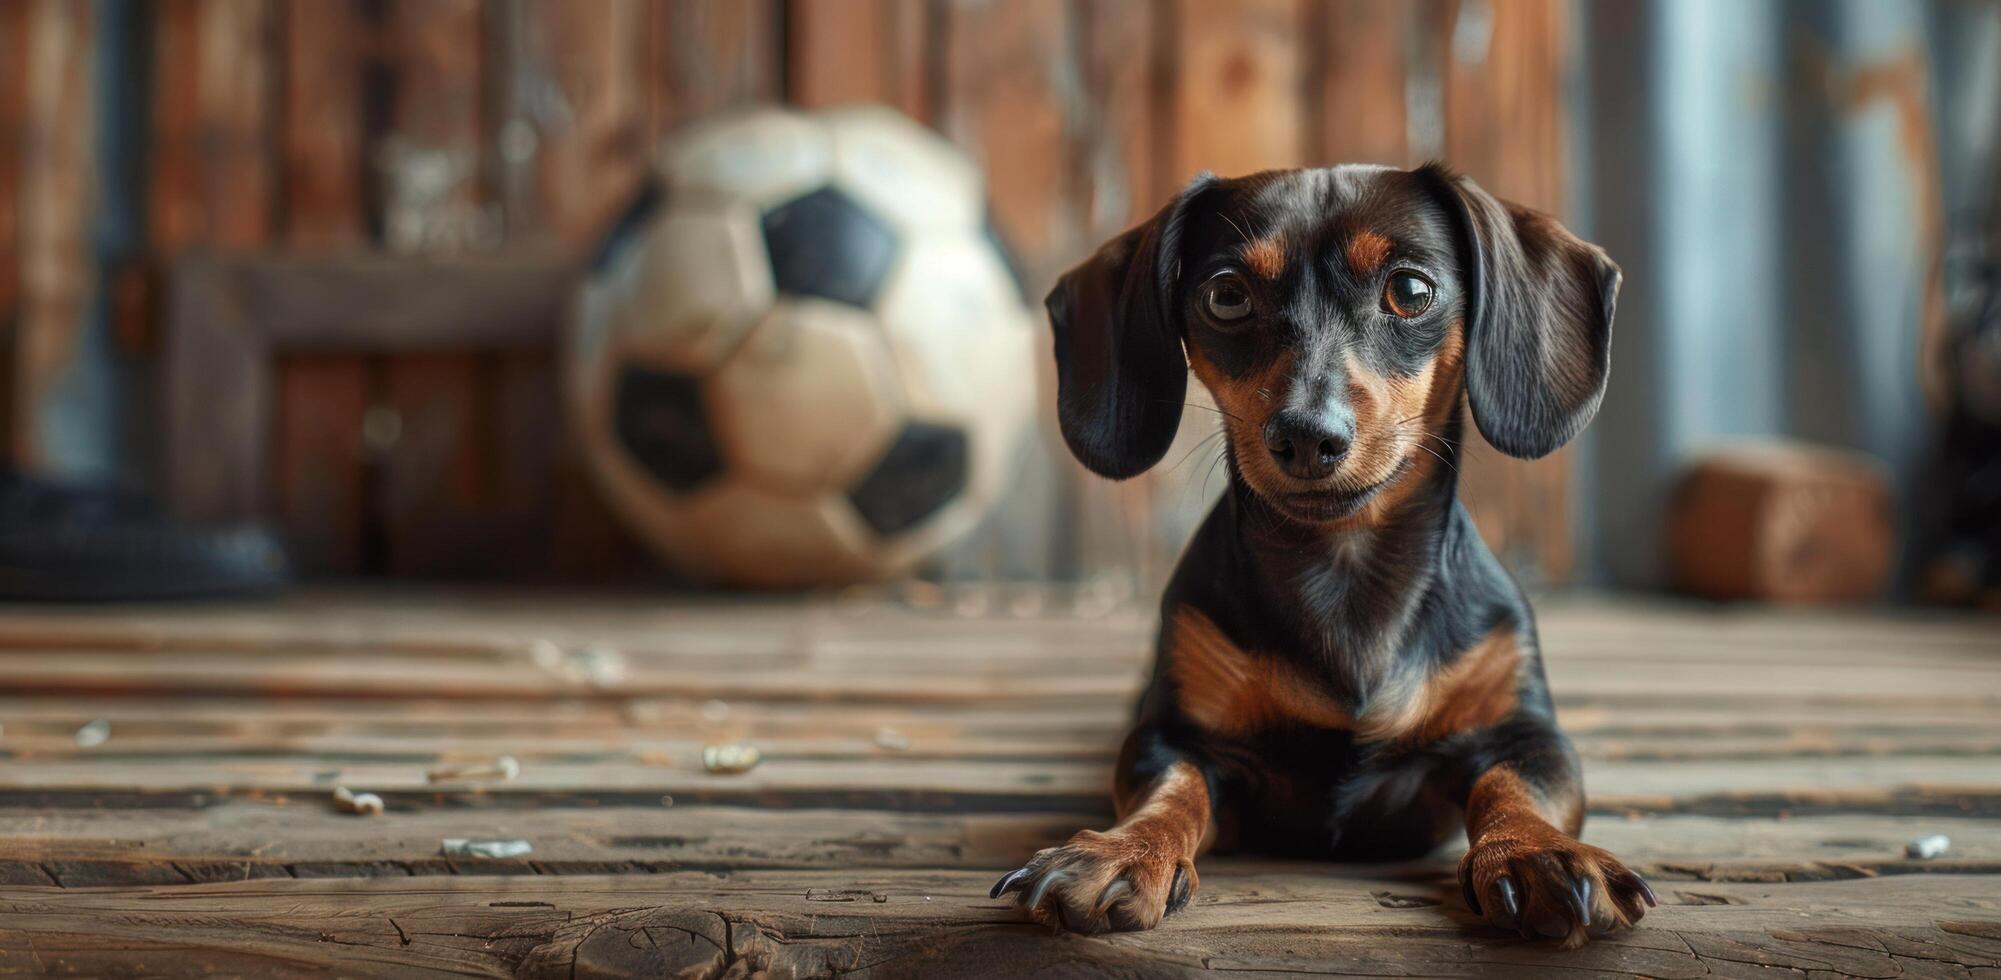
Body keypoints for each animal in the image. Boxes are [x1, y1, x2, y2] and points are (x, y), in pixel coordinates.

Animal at [988, 165, 1656, 944]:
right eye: (1226, 296)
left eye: (1411, 290)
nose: (1307, 435)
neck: (1344, 571)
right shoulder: (1170, 738)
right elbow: (1172, 791)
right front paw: (1121, 852)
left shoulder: (1528, 737)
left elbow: (1513, 786)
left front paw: (1537, 853)